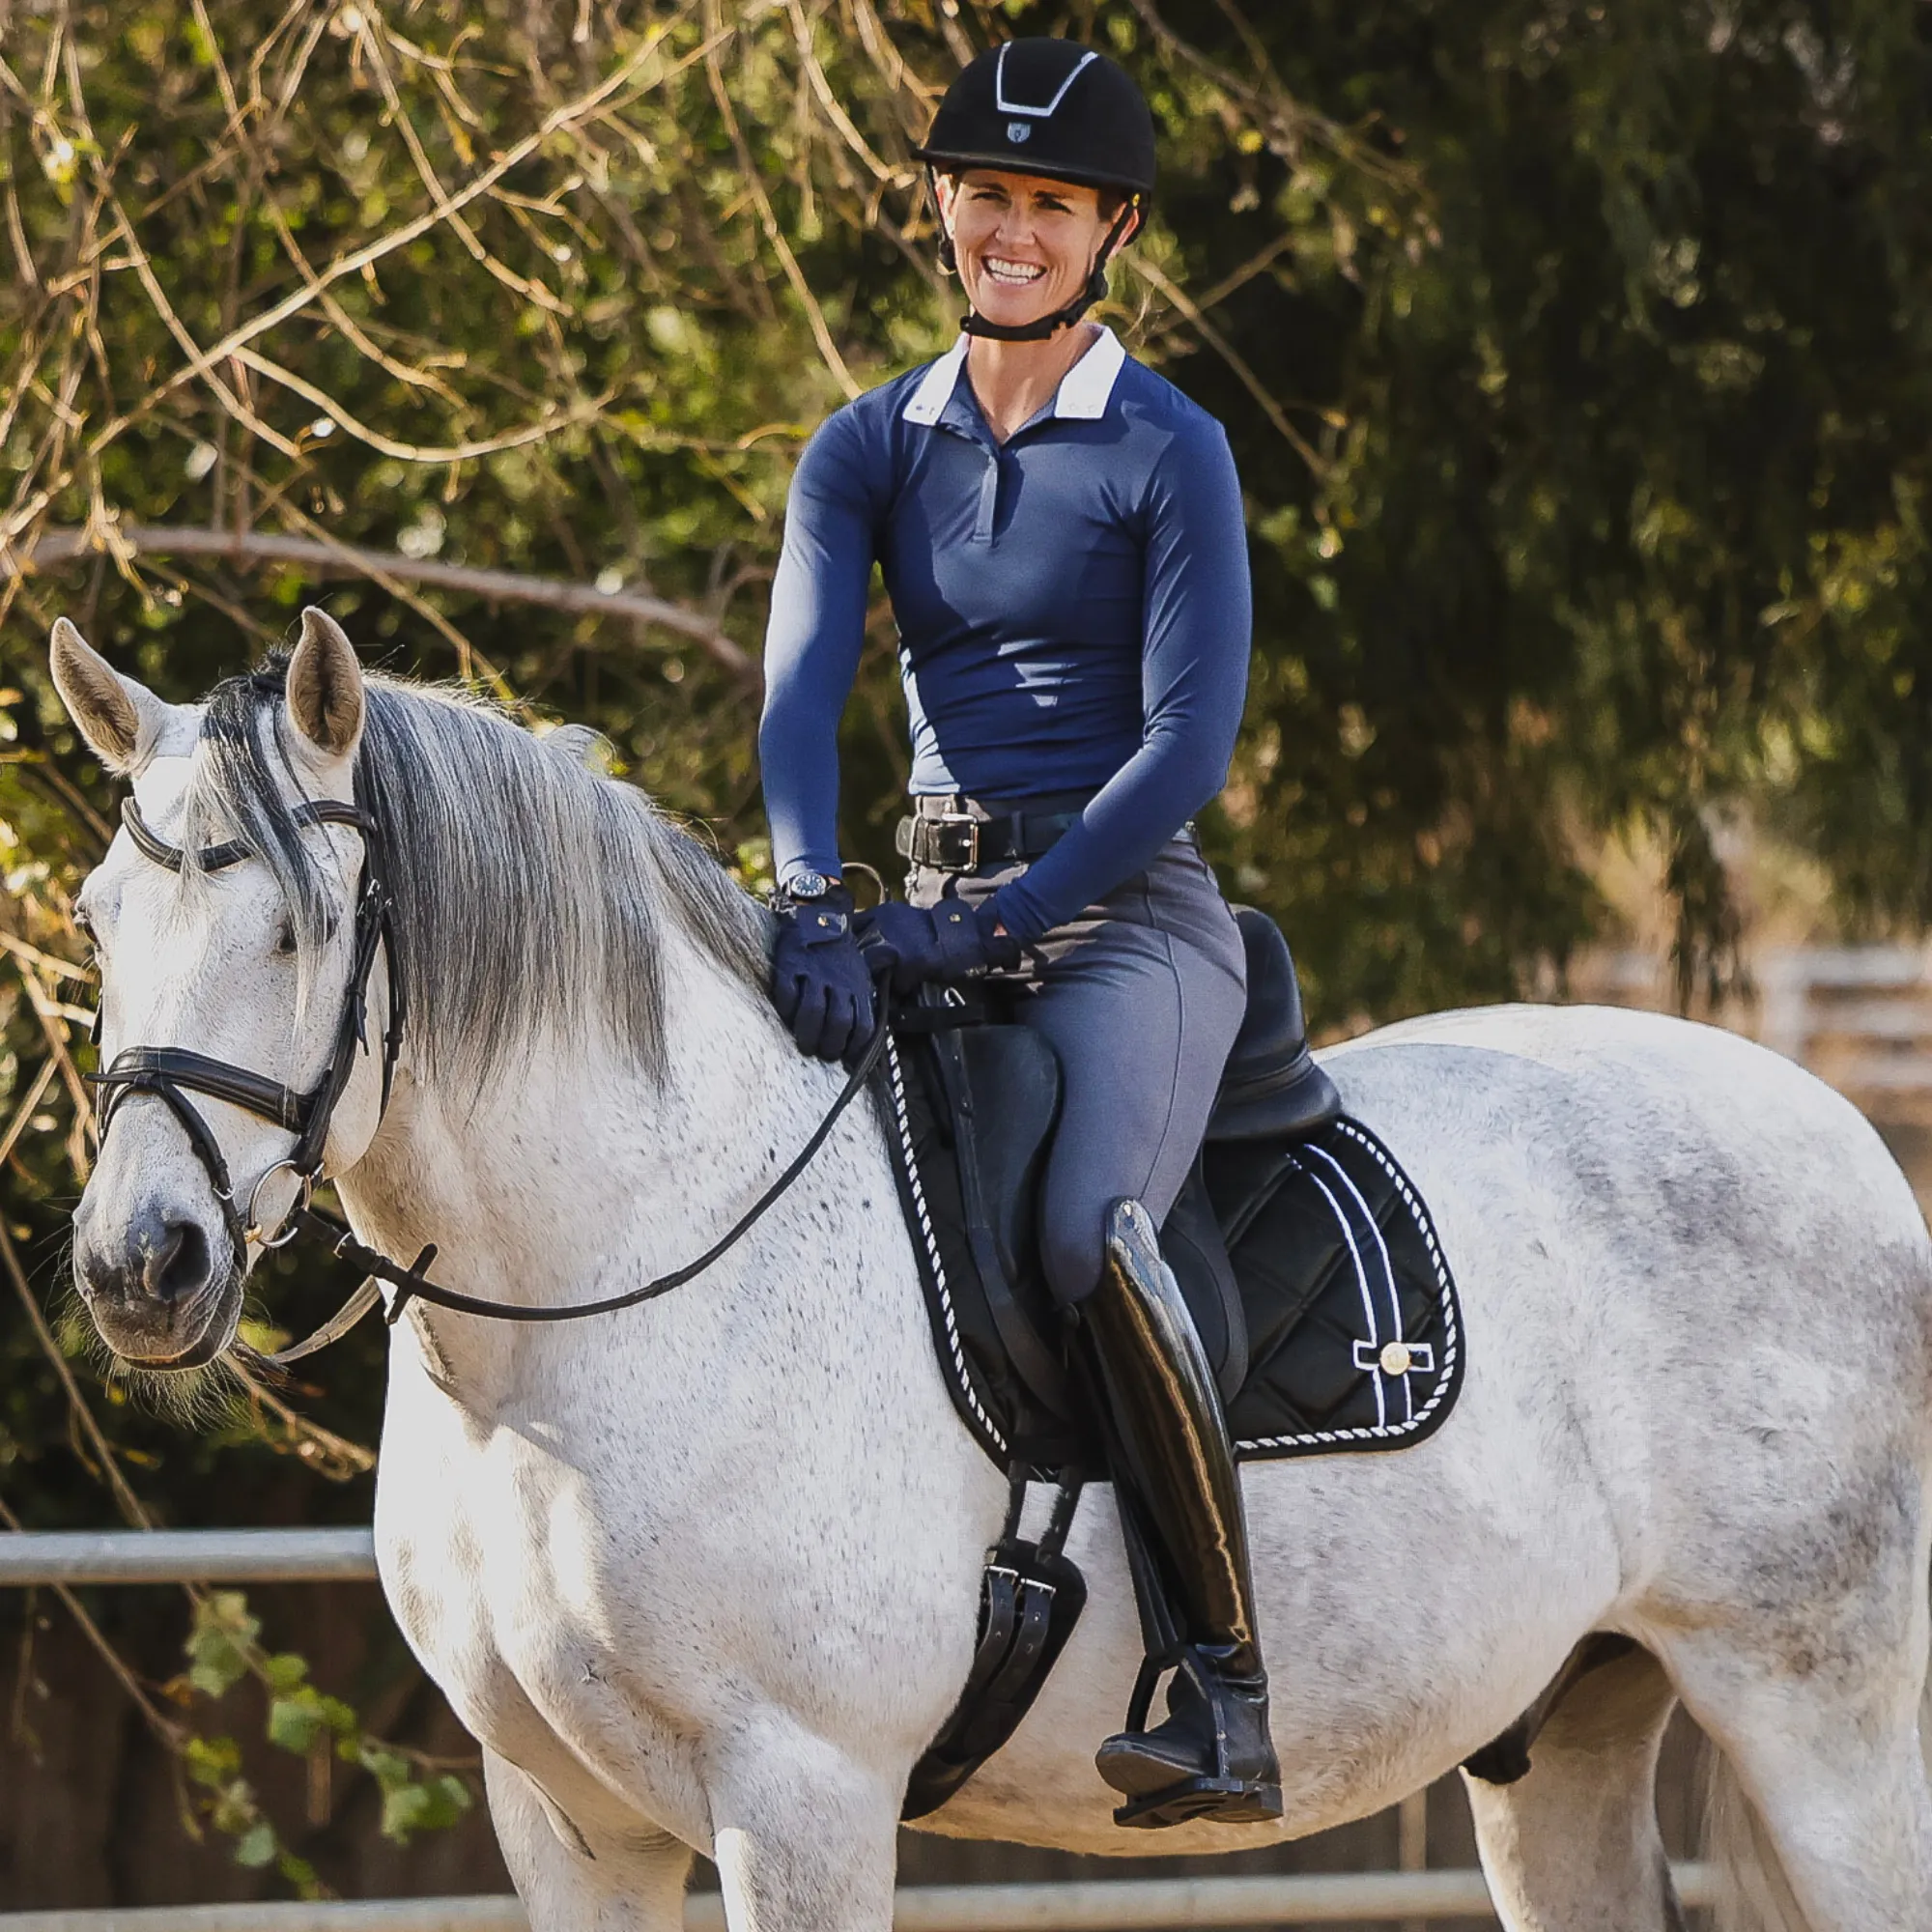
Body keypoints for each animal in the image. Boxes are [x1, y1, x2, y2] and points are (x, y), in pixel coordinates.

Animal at [47, 606, 1932, 1932]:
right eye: (93, 920)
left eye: (300, 930)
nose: (144, 1265)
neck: (621, 1284)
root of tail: (1850, 1142)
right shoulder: (569, 1823)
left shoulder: (801, 1799)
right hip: (1566, 1739)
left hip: (1830, 1732)